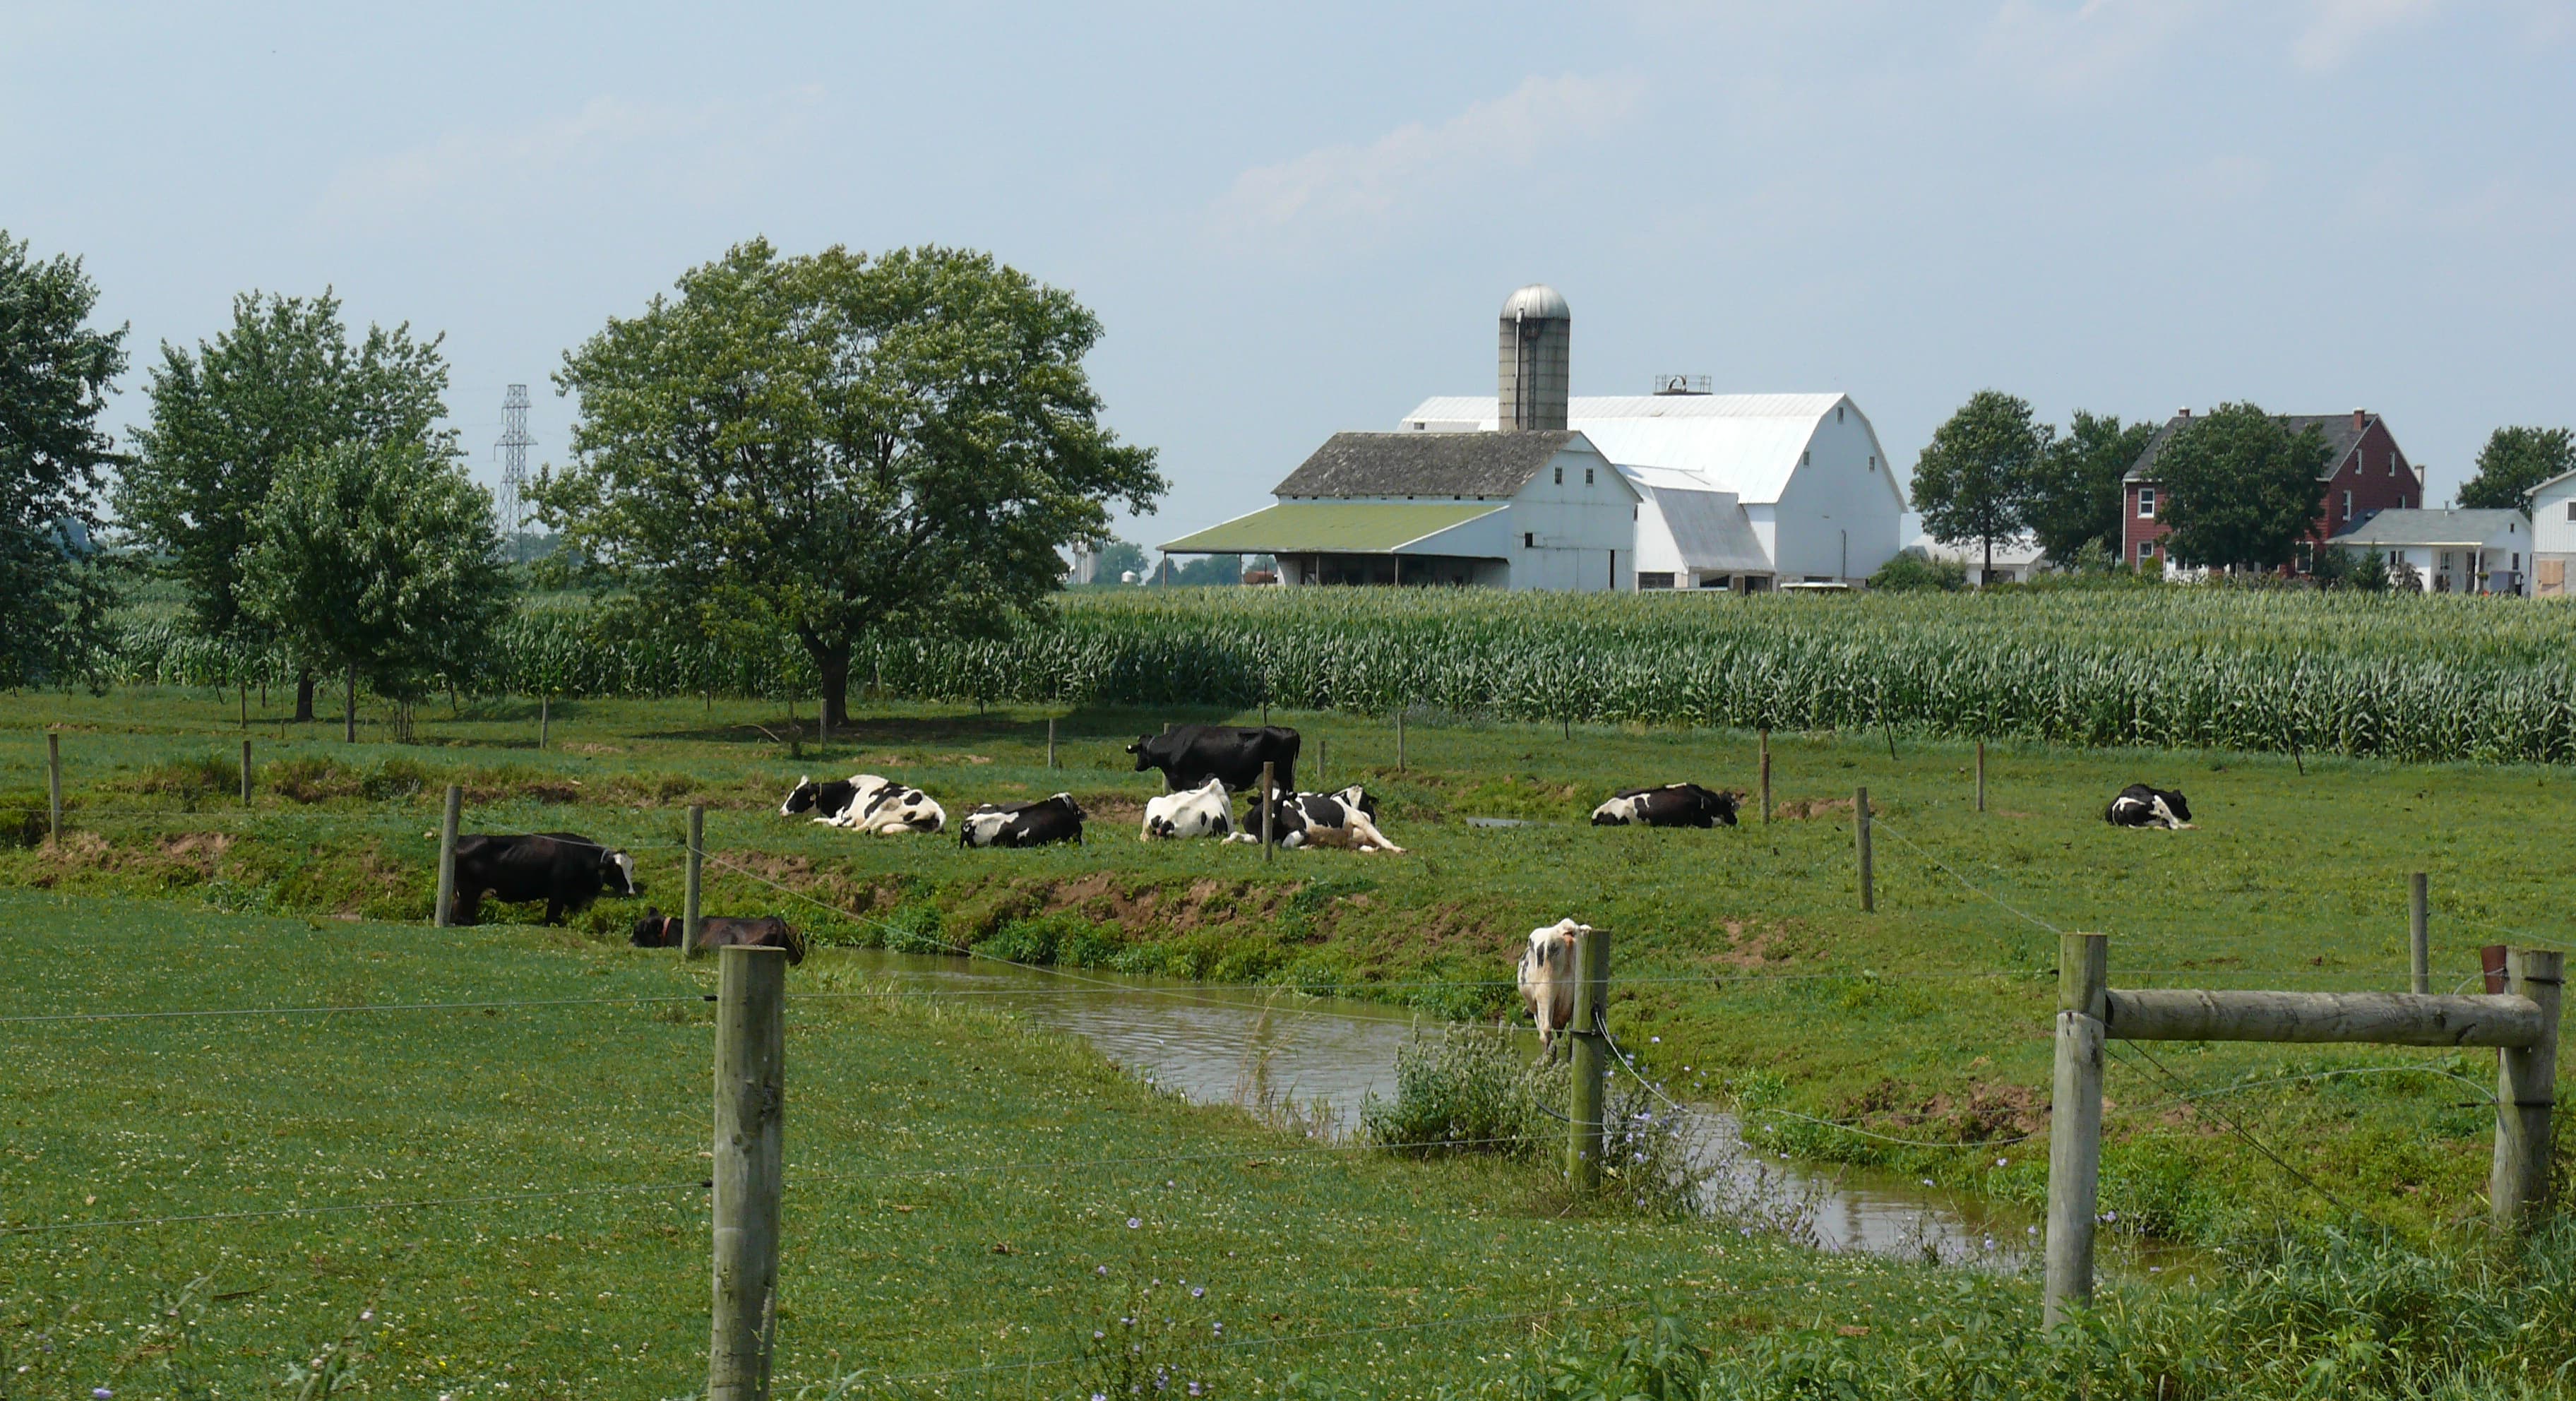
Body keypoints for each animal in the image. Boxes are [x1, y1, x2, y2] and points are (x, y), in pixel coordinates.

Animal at [447, 832, 642, 927]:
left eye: (631, 867)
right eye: (616, 869)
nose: (631, 891)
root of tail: (461, 839)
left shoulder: (578, 898)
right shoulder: (557, 894)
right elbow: (551, 919)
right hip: (468, 893)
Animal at [1229, 785, 1401, 853]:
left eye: (1281, 802)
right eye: (1263, 802)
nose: (1272, 817)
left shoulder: (1301, 831)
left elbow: (1286, 844)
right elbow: (1236, 835)